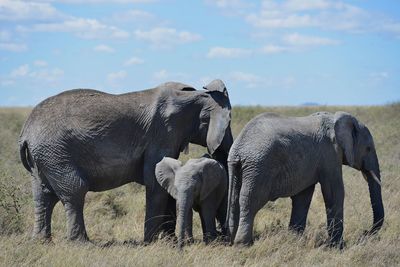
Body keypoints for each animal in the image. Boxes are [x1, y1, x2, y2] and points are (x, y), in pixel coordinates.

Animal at [20, 79, 233, 243]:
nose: (223, 235)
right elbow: (155, 184)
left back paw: (41, 242)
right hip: (55, 152)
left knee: (43, 195)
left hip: (45, 157)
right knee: (75, 190)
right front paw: (151, 242)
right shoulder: (162, 133)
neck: (195, 95)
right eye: (229, 122)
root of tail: (26, 132)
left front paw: (167, 240)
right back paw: (82, 244)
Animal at [227, 110, 382, 247]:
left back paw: (230, 240)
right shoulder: (330, 154)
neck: (336, 118)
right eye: (368, 148)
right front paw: (338, 247)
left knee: (235, 199)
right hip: (259, 168)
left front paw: (293, 240)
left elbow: (303, 197)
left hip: (242, 170)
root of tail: (238, 149)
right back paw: (243, 244)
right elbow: (334, 192)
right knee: (250, 200)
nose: (365, 232)